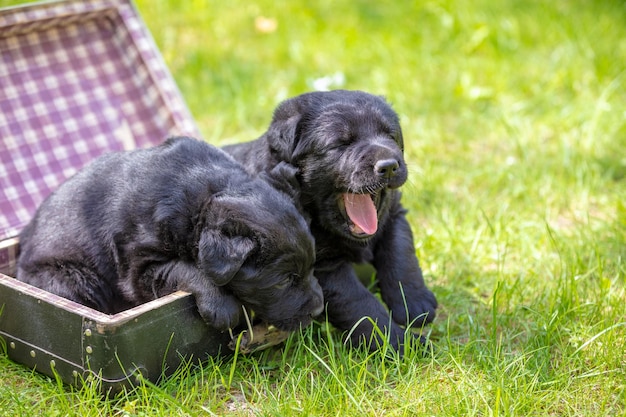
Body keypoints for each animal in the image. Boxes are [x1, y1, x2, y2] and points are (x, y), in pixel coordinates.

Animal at [17, 135, 324, 334]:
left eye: (312, 266)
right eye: (282, 282)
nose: (319, 310)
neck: (203, 195)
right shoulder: (138, 266)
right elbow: (185, 269)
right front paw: (222, 307)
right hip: (74, 279)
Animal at [223, 89, 434, 350]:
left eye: (391, 136)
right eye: (342, 143)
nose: (388, 166)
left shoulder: (394, 214)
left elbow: (401, 256)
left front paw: (415, 305)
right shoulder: (320, 265)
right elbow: (361, 305)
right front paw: (400, 344)